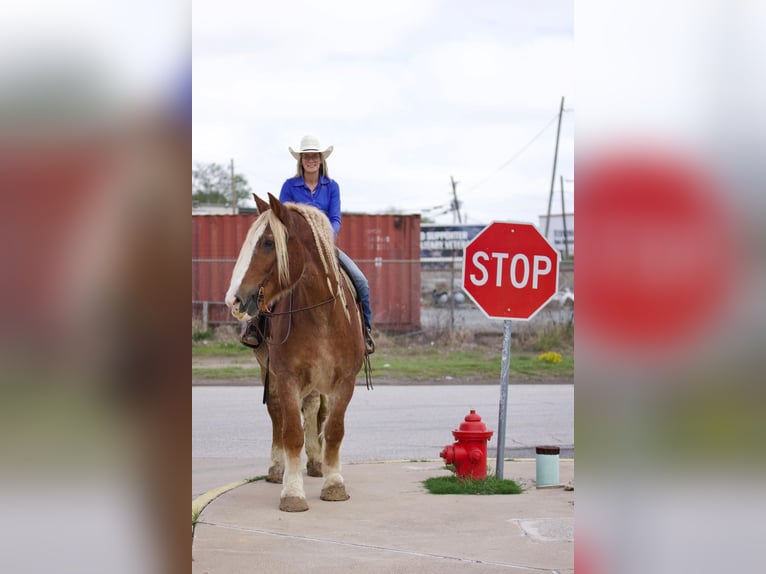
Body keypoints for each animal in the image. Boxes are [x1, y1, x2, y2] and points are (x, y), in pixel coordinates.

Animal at [224, 194, 368, 512]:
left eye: (268, 242)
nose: (233, 300)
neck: (323, 313)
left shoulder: (345, 381)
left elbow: (334, 429)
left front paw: (334, 484)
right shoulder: (287, 377)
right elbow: (291, 433)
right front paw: (292, 493)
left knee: (313, 409)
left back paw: (315, 462)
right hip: (269, 372)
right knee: (277, 414)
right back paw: (277, 468)